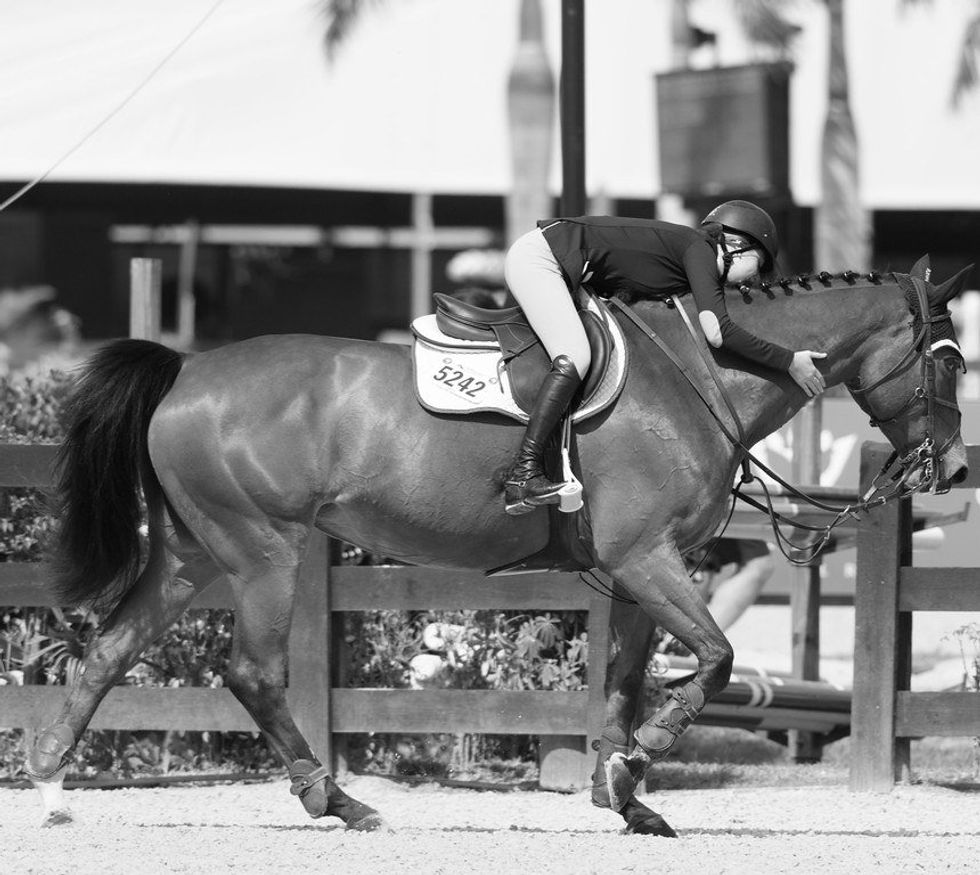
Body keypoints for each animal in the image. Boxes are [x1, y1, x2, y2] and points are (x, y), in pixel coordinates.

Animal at [27, 257, 969, 836]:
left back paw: (46, 785)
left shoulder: (639, 569)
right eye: (952, 362)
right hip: (266, 551)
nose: (955, 468)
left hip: (193, 551)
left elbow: (627, 678)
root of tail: (186, 370)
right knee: (252, 672)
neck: (702, 372)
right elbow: (714, 658)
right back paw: (338, 800)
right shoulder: (647, 559)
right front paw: (643, 759)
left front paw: (624, 794)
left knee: (110, 647)